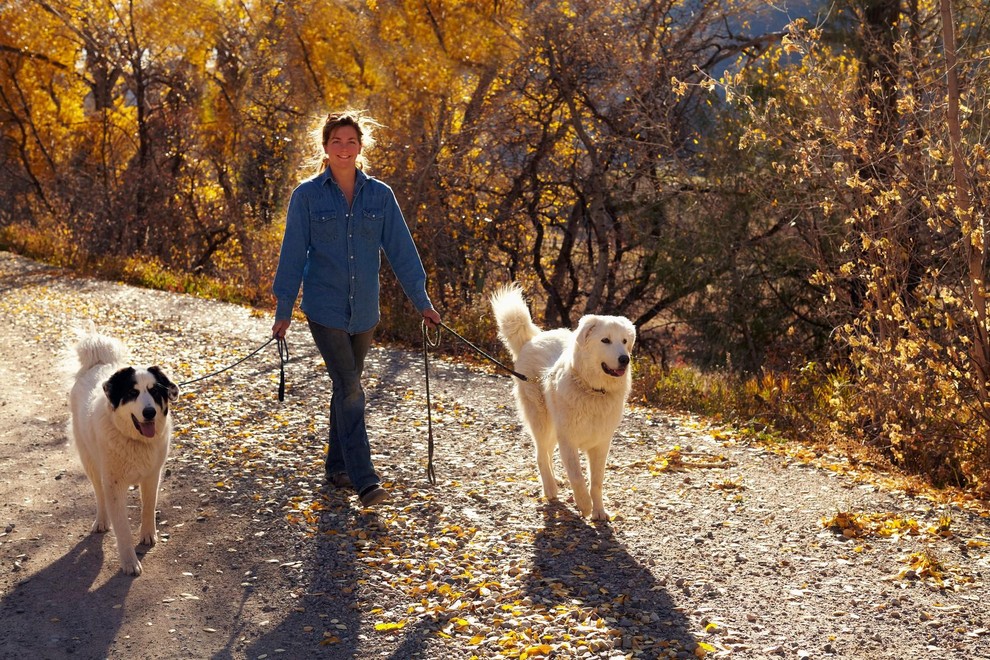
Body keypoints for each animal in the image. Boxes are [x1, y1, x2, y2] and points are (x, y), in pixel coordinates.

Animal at [68, 328, 178, 576]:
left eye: (154, 392)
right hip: (90, 462)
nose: (149, 412)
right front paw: (129, 563)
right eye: (132, 393)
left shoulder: (152, 476)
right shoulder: (114, 485)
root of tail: (98, 362)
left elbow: (148, 506)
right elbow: (122, 528)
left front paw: (148, 535)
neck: (134, 440)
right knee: (99, 495)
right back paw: (101, 521)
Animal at [492, 284, 640, 520]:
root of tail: (532, 339)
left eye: (624, 342)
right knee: (540, 455)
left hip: (553, 428)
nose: (624, 359)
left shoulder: (601, 444)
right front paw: (585, 505)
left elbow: (596, 482)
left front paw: (599, 511)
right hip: (542, 422)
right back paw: (550, 488)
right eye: (605, 340)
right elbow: (578, 477)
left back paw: (556, 481)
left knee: (548, 453)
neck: (593, 391)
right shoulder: (569, 440)